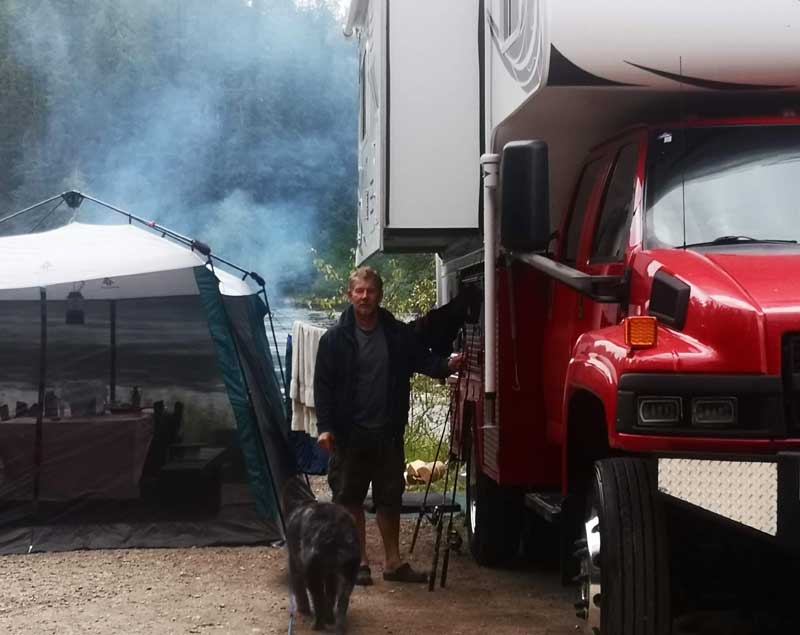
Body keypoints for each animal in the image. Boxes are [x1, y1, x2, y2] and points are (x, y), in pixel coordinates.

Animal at [280, 476, 358, 632]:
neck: (301, 501)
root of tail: (336, 528)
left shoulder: (295, 564)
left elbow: (300, 591)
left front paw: (303, 609)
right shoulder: (330, 575)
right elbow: (331, 596)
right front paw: (330, 617)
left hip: (312, 573)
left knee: (318, 599)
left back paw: (318, 624)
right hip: (348, 572)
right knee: (342, 601)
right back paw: (338, 624)